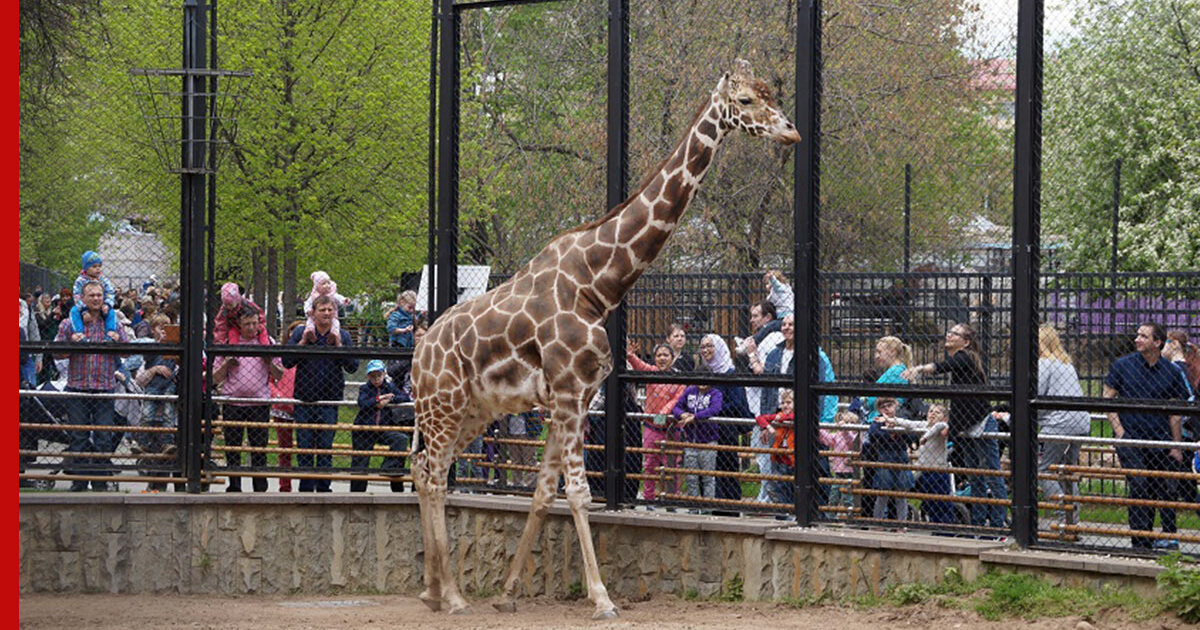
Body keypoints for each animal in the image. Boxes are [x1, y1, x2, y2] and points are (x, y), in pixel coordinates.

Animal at [410, 60, 796, 619]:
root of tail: (417, 354)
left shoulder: (576, 396)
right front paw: (602, 598)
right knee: (435, 473)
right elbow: (577, 493)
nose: (791, 131)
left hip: (471, 412)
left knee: (422, 468)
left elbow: (544, 492)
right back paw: (455, 596)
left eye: (772, 94)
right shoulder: (570, 393)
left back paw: (433, 589)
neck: (600, 283)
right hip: (443, 408)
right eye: (746, 101)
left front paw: (508, 593)